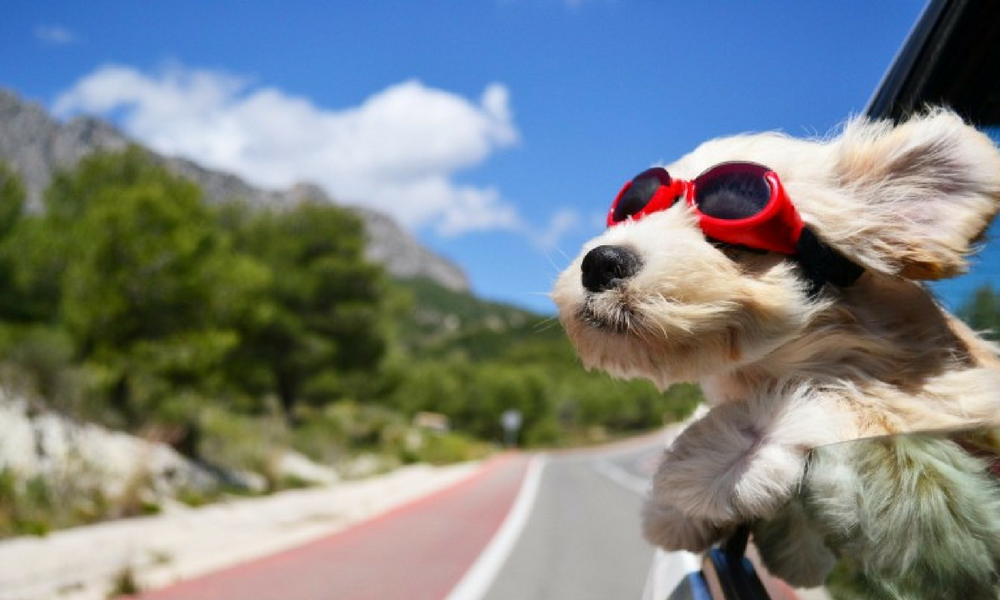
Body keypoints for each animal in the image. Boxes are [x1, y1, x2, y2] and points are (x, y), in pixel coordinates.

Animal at [552, 110, 1000, 592]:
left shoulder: (954, 401)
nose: (600, 262)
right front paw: (673, 509)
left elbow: (861, 405)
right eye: (630, 210)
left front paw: (712, 460)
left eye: (732, 237)